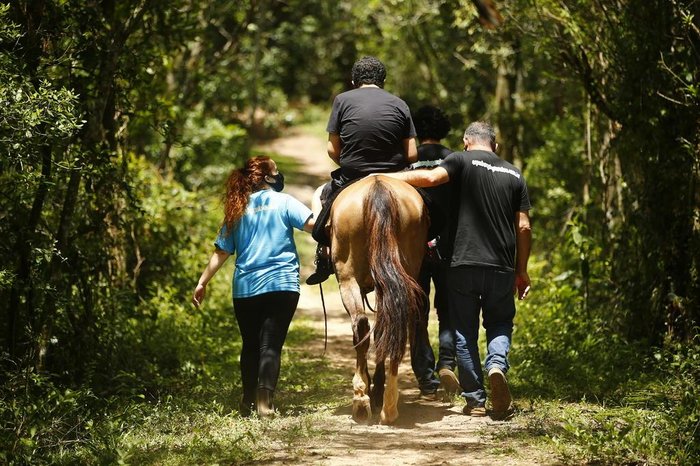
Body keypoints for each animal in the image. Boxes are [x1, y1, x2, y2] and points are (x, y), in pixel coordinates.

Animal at [326, 174, 426, 422]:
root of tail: (378, 186)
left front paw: (368, 390)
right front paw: (377, 390)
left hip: (347, 277)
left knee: (361, 326)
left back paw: (361, 398)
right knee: (395, 325)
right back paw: (388, 404)